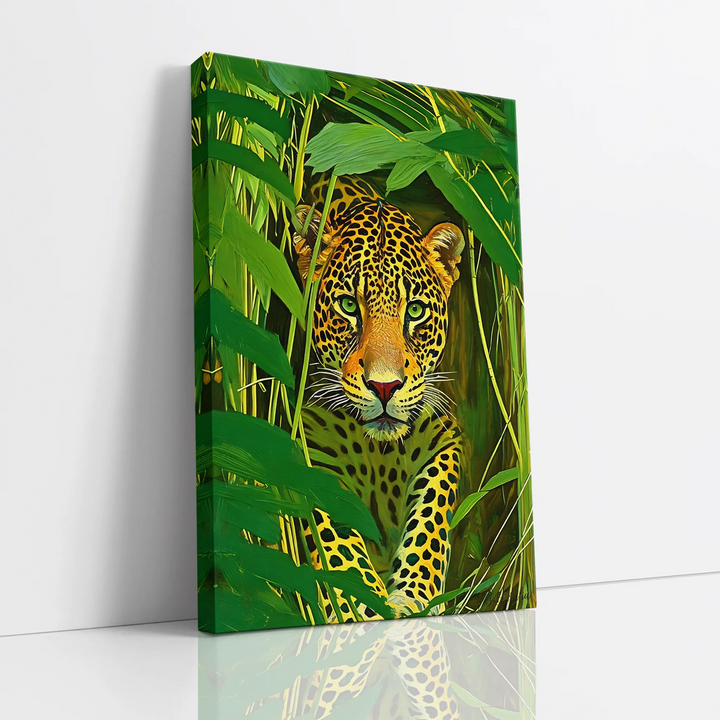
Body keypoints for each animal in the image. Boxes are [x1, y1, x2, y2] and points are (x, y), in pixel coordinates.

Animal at [293, 174, 467, 622]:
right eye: (348, 306)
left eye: (416, 311)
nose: (385, 387)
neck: (379, 452)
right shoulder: (307, 445)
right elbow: (335, 533)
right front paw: (361, 607)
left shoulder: (444, 435)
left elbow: (431, 515)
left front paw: (415, 595)